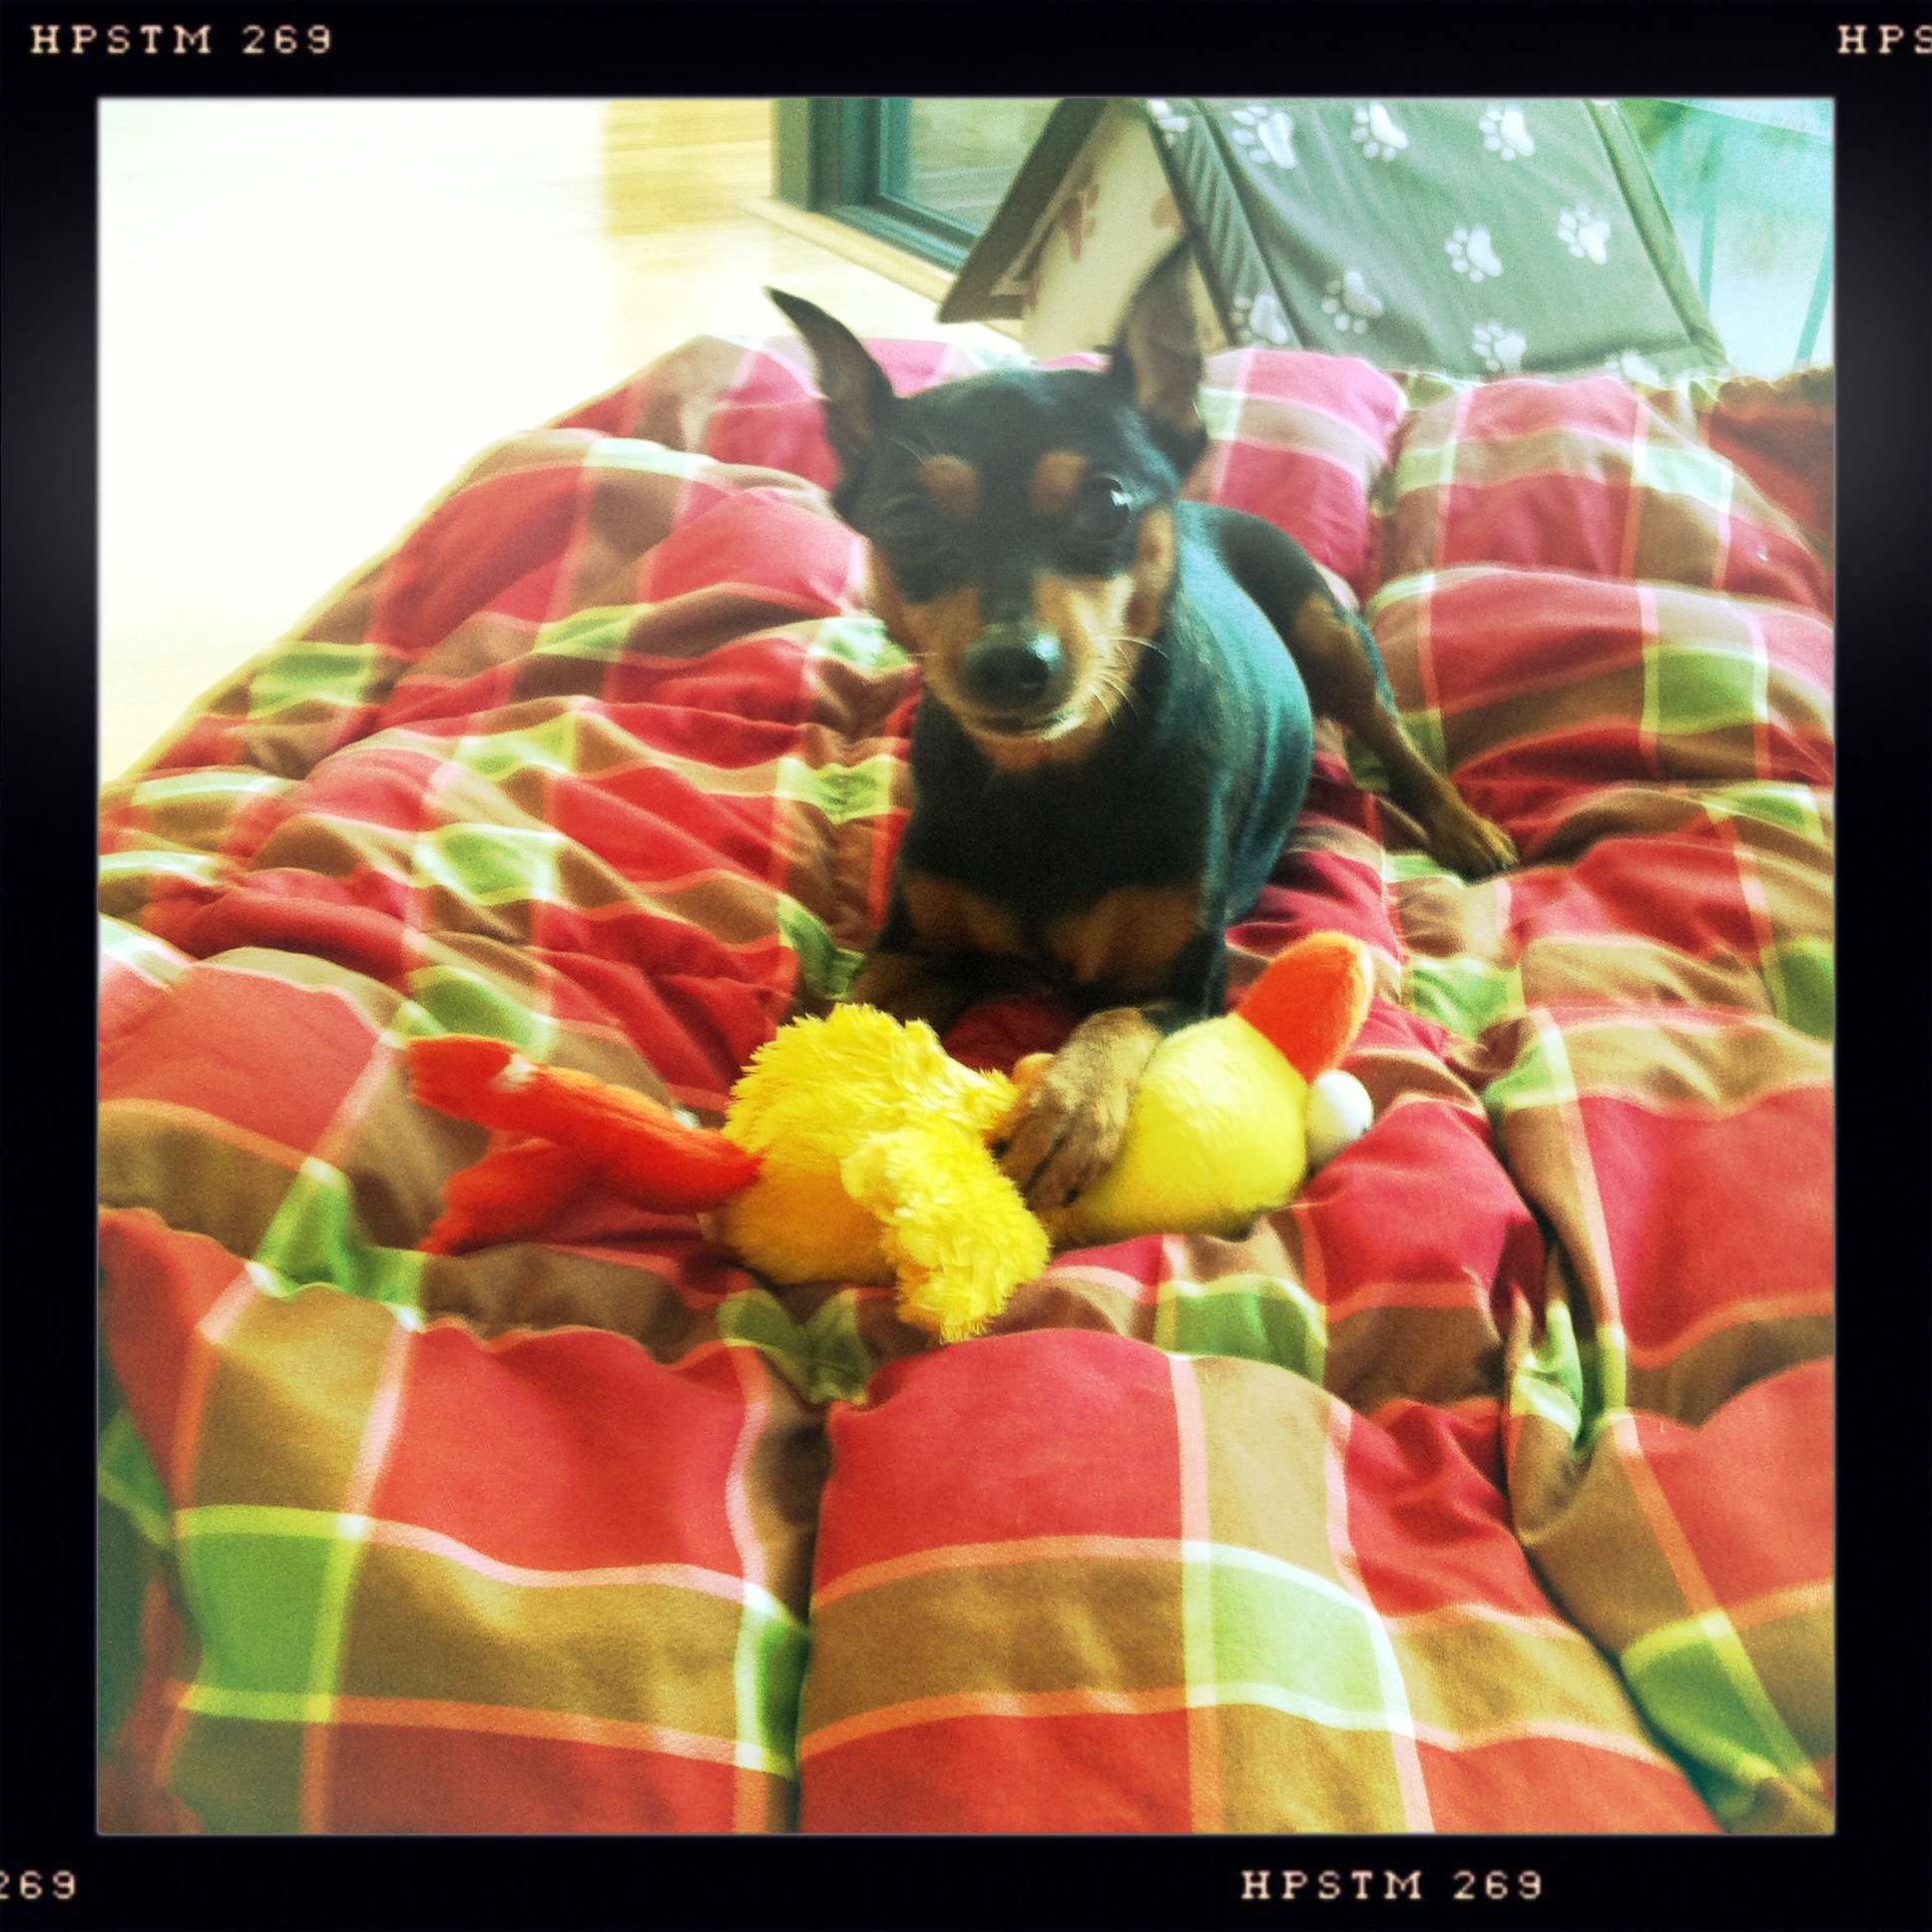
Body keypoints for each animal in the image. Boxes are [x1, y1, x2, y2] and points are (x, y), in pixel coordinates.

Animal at [768, 252, 1516, 1221]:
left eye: (1106, 503)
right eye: (905, 523)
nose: (1009, 666)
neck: (1050, 779)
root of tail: (1208, 512)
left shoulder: (1180, 984)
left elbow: (1112, 1018)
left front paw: (1069, 1111)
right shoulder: (917, 952)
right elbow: (846, 1016)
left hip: (1327, 629)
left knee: (1397, 739)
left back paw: (1463, 827)